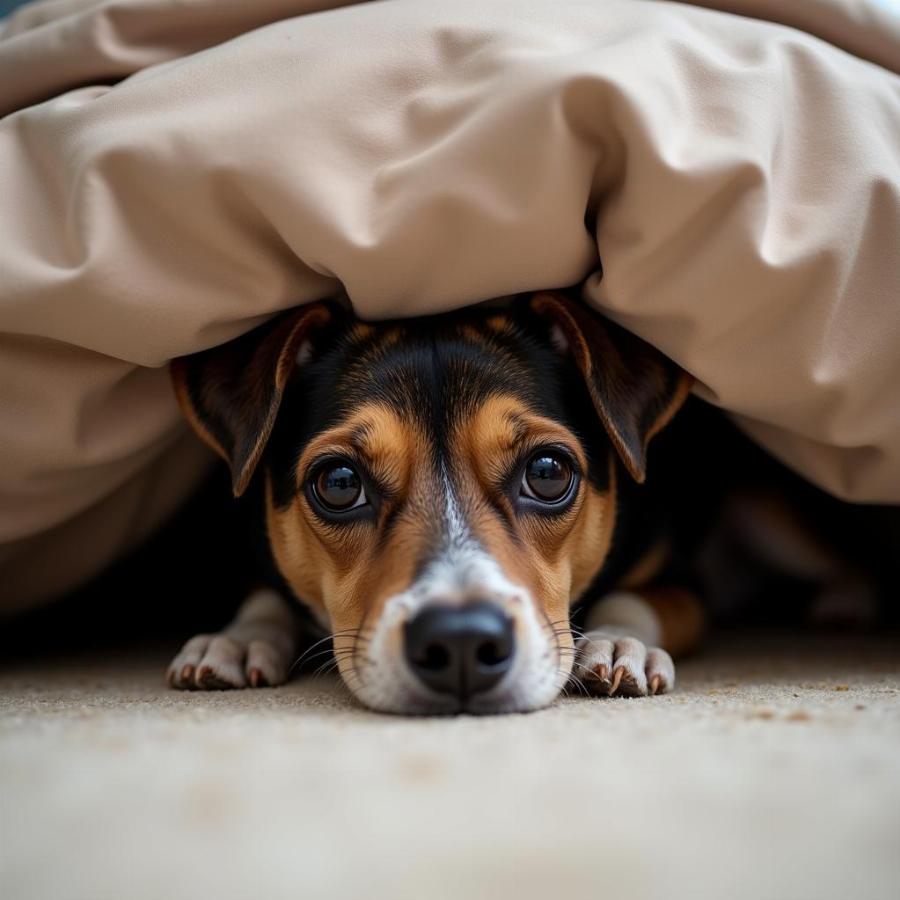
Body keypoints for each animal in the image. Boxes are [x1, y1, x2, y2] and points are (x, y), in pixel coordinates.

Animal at [165, 292, 708, 712]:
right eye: (339, 482)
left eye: (547, 473)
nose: (460, 641)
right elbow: (267, 594)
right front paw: (237, 638)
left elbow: (639, 597)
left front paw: (617, 642)